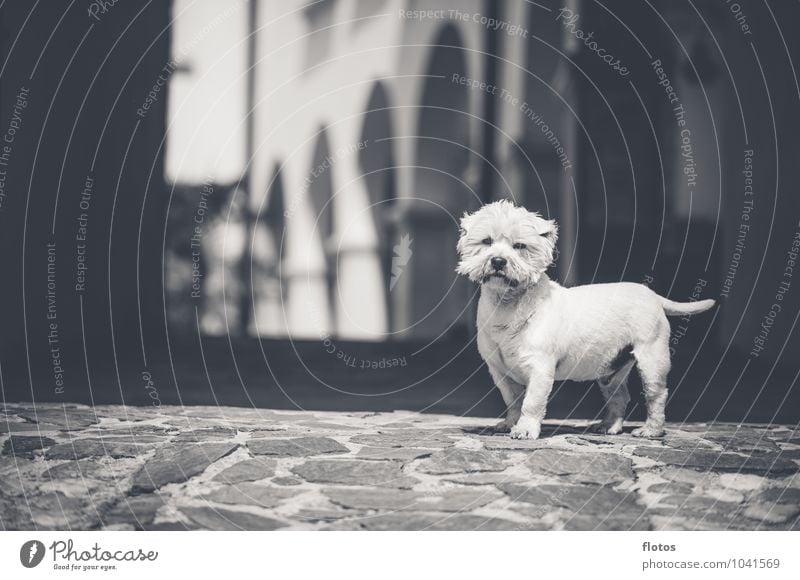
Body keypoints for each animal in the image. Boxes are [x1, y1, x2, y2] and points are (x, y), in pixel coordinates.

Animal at [456, 199, 720, 440]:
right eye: (486, 241)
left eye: (519, 246)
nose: (498, 261)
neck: (508, 305)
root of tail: (652, 295)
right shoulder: (500, 372)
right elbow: (512, 401)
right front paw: (508, 424)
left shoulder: (540, 367)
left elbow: (531, 402)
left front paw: (525, 430)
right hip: (611, 369)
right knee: (620, 396)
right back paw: (609, 426)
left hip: (652, 357)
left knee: (656, 394)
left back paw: (650, 430)